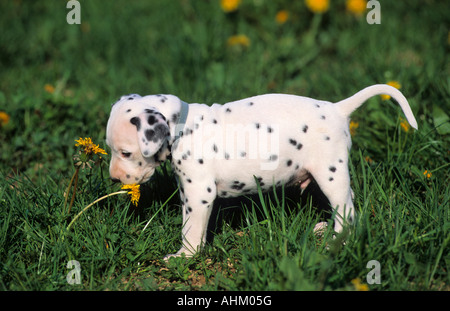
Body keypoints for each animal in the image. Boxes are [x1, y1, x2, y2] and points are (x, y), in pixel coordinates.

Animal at [106, 84, 418, 258]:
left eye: (125, 153)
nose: (113, 178)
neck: (184, 125)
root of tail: (337, 109)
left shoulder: (198, 193)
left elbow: (191, 229)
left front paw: (185, 255)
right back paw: (323, 228)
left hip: (330, 173)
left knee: (347, 211)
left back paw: (335, 241)